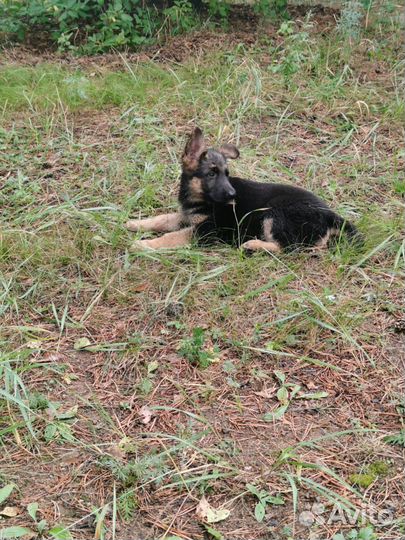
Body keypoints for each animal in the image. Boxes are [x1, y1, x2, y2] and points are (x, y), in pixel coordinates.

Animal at [124, 127, 358, 252]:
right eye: (211, 174)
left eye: (226, 174)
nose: (233, 196)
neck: (199, 198)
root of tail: (331, 214)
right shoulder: (186, 217)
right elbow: (161, 219)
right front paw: (135, 223)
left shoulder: (206, 231)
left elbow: (170, 237)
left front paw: (143, 245)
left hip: (274, 213)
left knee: (291, 247)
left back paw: (252, 244)